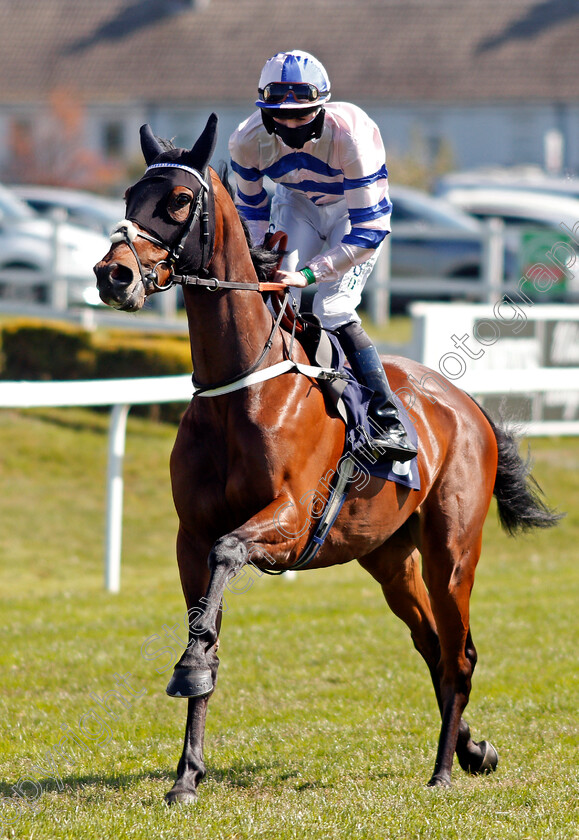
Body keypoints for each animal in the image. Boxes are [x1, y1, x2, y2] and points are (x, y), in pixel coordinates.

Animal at [95, 115, 560, 804]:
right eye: (129, 197)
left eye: (178, 200)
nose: (113, 275)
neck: (242, 386)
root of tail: (466, 404)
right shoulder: (190, 537)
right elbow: (206, 626)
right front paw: (186, 773)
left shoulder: (287, 521)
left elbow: (229, 554)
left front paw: (188, 677)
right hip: (389, 558)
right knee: (432, 646)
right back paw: (473, 749)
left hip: (452, 551)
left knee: (459, 653)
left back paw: (444, 770)